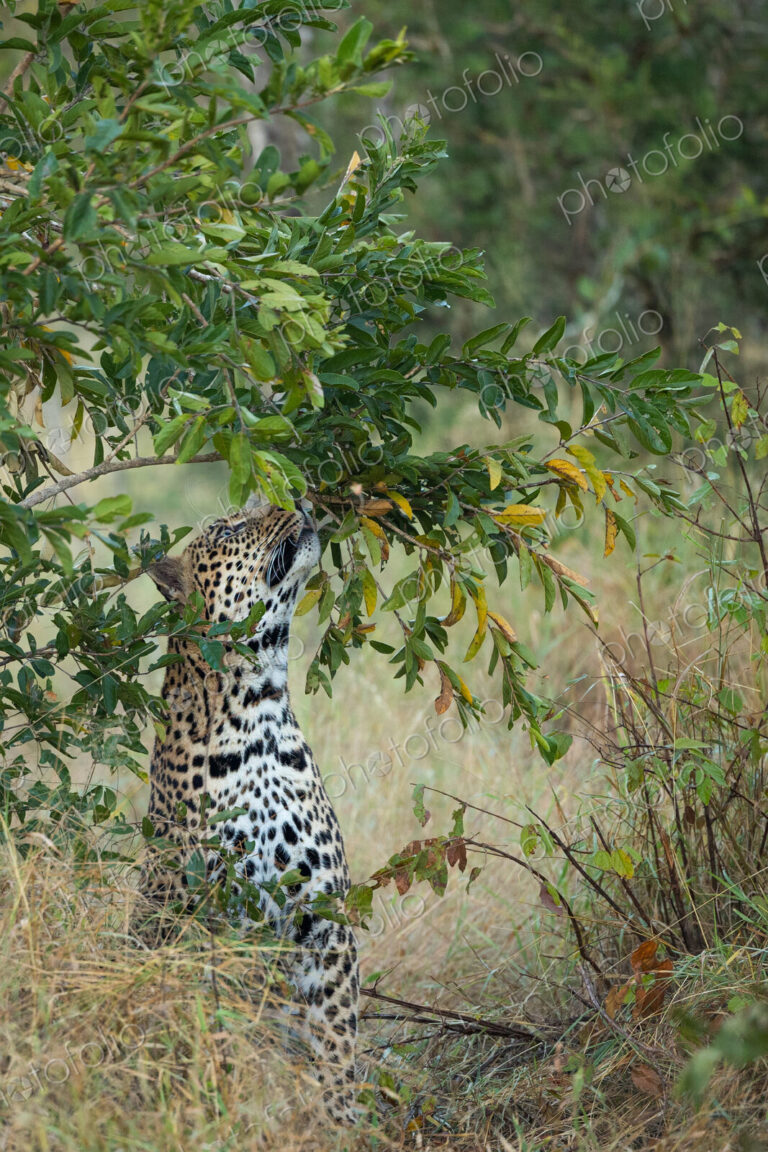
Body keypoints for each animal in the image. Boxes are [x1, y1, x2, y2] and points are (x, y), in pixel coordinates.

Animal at [137, 496, 359, 1125]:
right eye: (231, 528)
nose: (299, 500)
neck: (257, 708)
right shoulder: (209, 921)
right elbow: (222, 1031)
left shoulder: (322, 916)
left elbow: (335, 1034)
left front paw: (340, 1118)